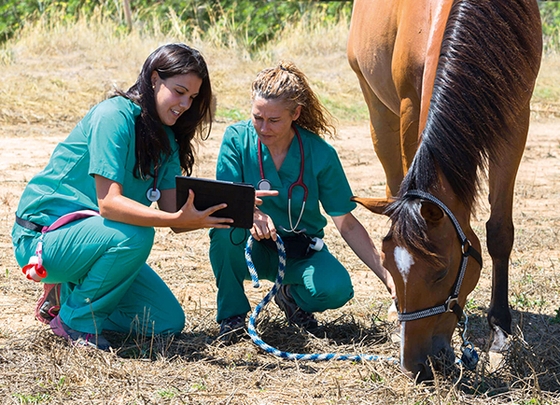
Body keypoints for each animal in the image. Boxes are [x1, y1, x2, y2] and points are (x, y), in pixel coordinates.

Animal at [350, 0, 544, 378]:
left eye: (441, 272)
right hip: (377, 109)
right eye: (389, 264)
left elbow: (500, 232)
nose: (416, 365)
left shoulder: (515, 118)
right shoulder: (410, 106)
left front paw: (500, 334)